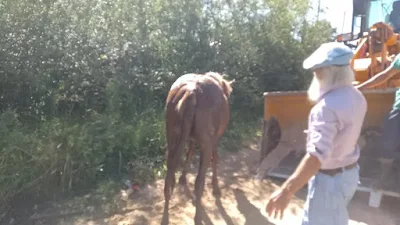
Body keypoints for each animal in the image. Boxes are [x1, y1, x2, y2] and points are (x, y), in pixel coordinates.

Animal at [161, 72, 233, 225]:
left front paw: (182, 177)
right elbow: (215, 158)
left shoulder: (191, 139)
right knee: (199, 181)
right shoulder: (214, 139)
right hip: (206, 141)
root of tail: (191, 92)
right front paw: (216, 187)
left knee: (169, 174)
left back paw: (165, 215)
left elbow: (189, 152)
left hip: (171, 136)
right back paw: (198, 217)